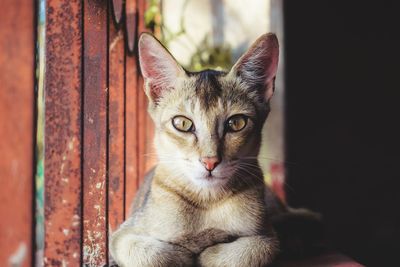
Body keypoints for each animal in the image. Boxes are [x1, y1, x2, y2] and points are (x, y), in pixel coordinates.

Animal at [109, 32, 310, 266]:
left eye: (236, 123)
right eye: (182, 123)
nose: (210, 161)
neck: (207, 202)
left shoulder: (266, 234)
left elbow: (256, 250)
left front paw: (209, 252)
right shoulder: (122, 234)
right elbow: (150, 255)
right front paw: (184, 253)